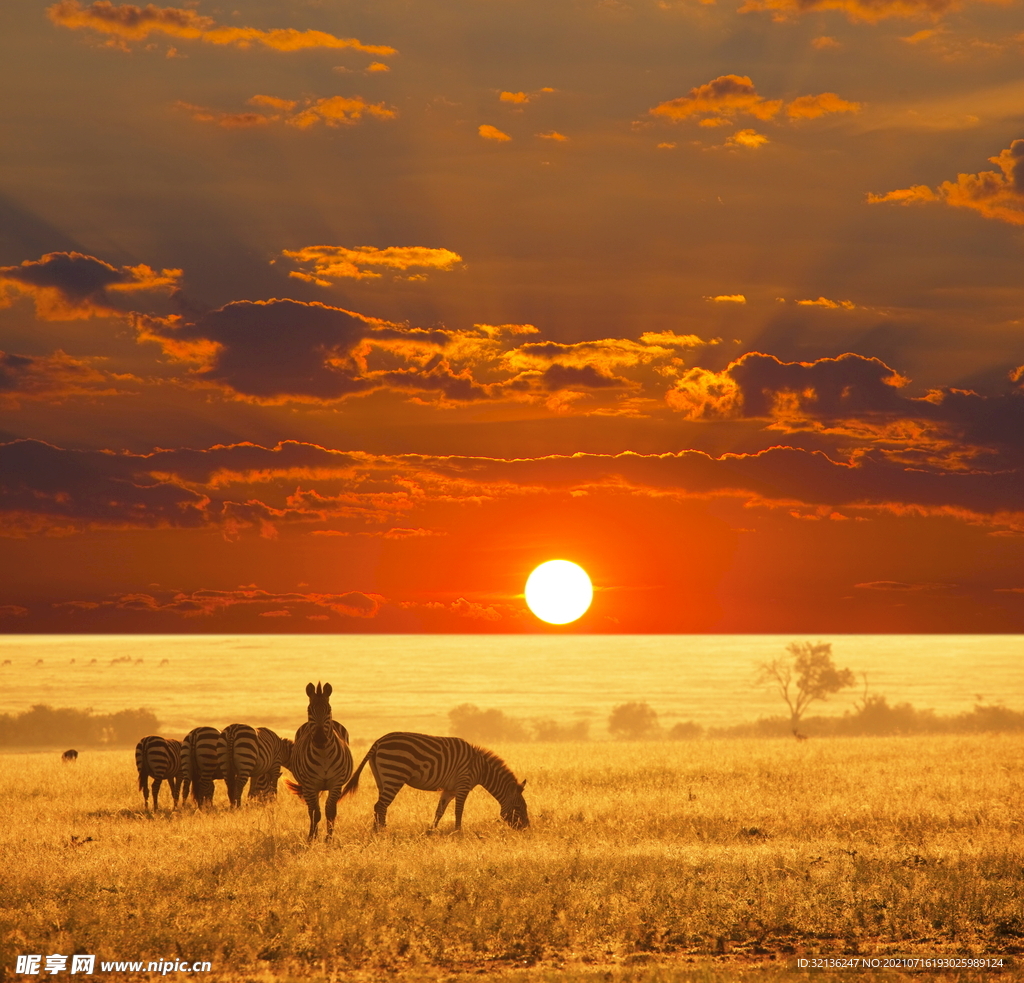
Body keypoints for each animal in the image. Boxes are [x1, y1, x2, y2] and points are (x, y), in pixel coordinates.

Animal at [286, 684, 354, 835]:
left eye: (329, 710)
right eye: (309, 710)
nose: (320, 739)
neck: (323, 754)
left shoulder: (336, 783)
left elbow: (330, 812)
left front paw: (329, 838)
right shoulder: (311, 785)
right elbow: (316, 813)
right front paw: (313, 837)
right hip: (307, 786)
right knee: (311, 810)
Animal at [342, 733, 532, 831]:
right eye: (519, 808)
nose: (527, 830)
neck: (481, 768)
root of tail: (378, 741)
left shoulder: (449, 789)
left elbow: (439, 811)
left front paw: (431, 832)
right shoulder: (463, 785)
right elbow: (458, 811)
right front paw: (458, 832)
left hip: (382, 779)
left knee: (379, 806)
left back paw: (378, 831)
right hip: (394, 774)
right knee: (381, 806)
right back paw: (382, 832)